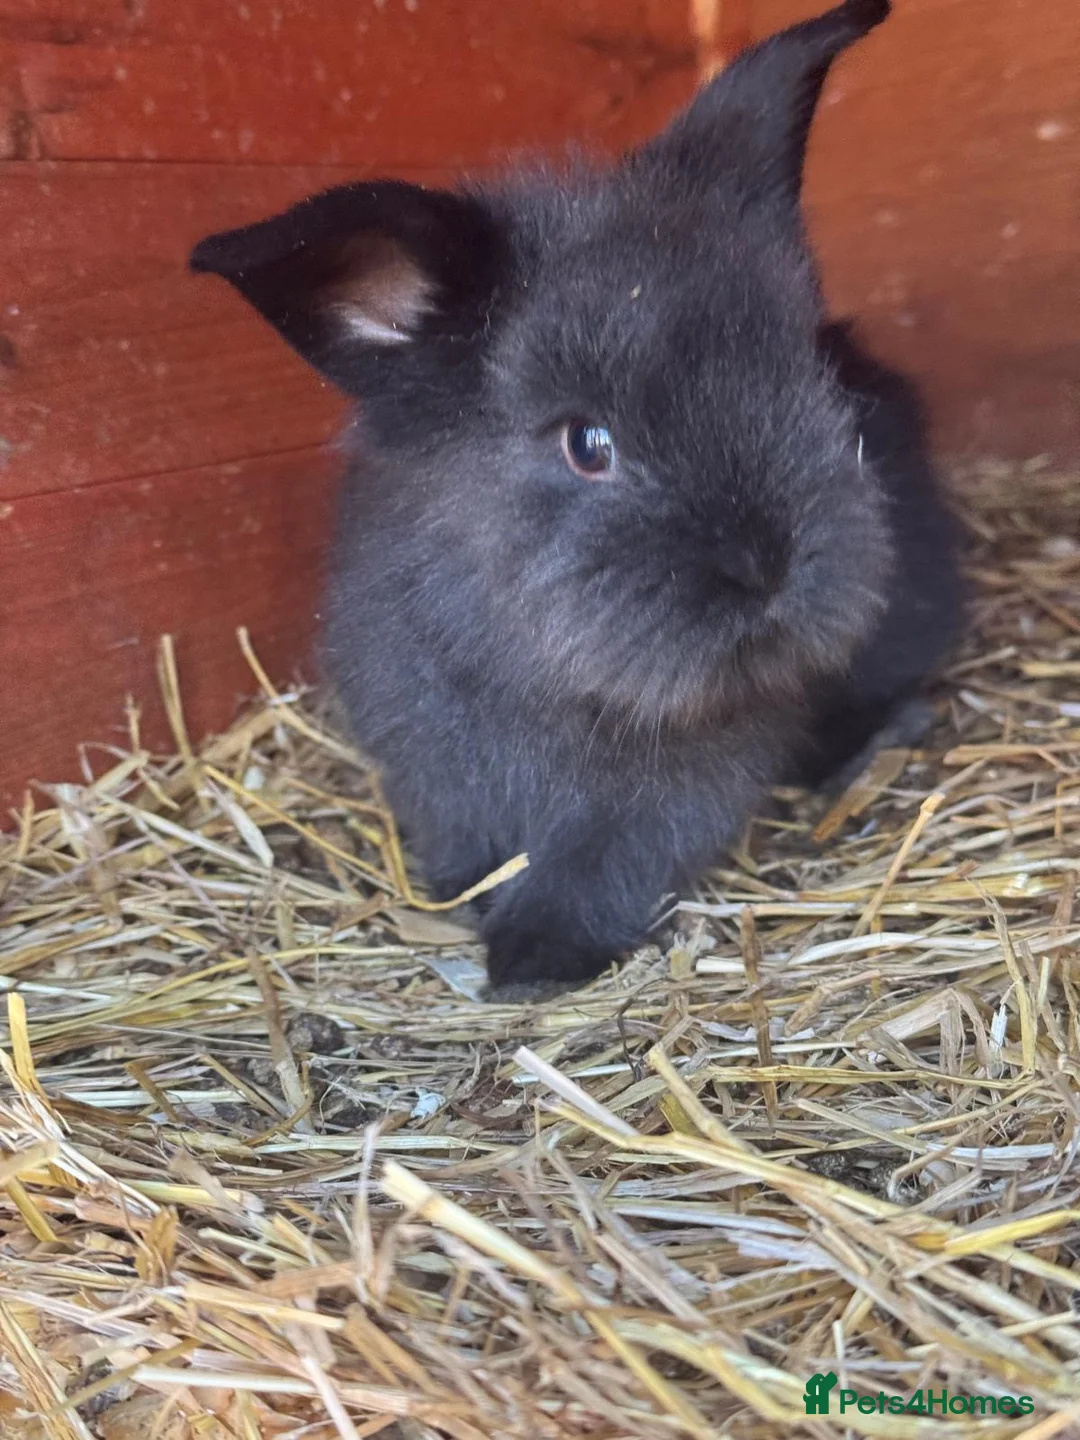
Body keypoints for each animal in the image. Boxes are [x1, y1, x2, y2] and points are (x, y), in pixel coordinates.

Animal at [191, 0, 964, 989]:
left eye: (809, 381)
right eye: (586, 444)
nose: (768, 567)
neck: (546, 681)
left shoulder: (666, 795)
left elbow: (607, 863)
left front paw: (534, 957)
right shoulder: (431, 764)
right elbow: (472, 844)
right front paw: (472, 904)